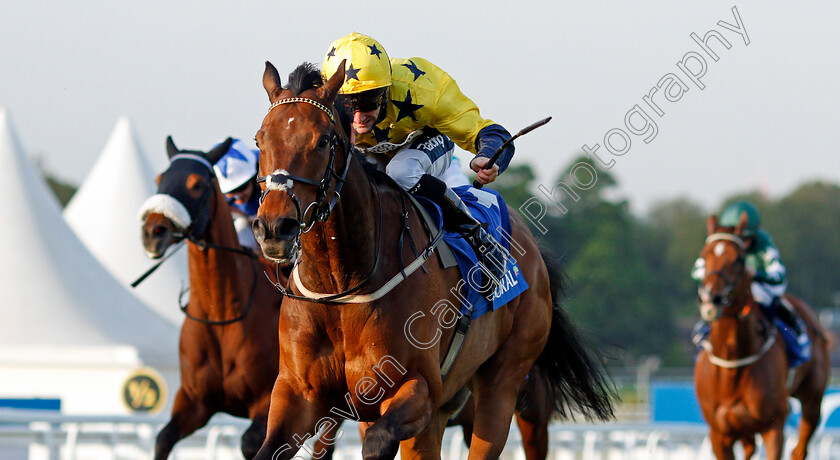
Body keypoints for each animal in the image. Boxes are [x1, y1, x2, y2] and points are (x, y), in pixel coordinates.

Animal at [141, 137, 288, 460]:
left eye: (196, 184)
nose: (153, 231)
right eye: (159, 179)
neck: (221, 313)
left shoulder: (266, 402)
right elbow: (163, 438)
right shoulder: (194, 402)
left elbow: (250, 443)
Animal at [246, 62, 612, 460]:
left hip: (505, 378)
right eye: (260, 140)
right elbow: (265, 449)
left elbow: (378, 442)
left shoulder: (417, 388)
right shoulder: (299, 394)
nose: (274, 227)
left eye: (323, 141)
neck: (341, 288)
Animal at [696, 212, 828, 460]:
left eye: (739, 259)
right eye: (704, 256)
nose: (712, 299)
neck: (732, 362)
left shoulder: (773, 426)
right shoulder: (718, 433)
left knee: (800, 449)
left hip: (812, 399)